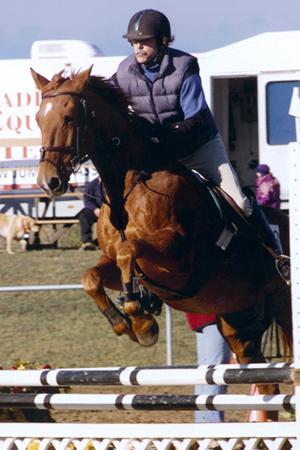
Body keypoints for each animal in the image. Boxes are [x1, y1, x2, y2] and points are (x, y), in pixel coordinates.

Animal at [31, 67, 292, 418]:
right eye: (38, 119)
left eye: (70, 117)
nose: (49, 182)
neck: (128, 185)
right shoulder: (115, 262)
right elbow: (92, 276)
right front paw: (126, 323)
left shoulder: (176, 257)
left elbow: (129, 250)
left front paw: (141, 319)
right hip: (238, 322)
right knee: (267, 387)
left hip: (282, 303)